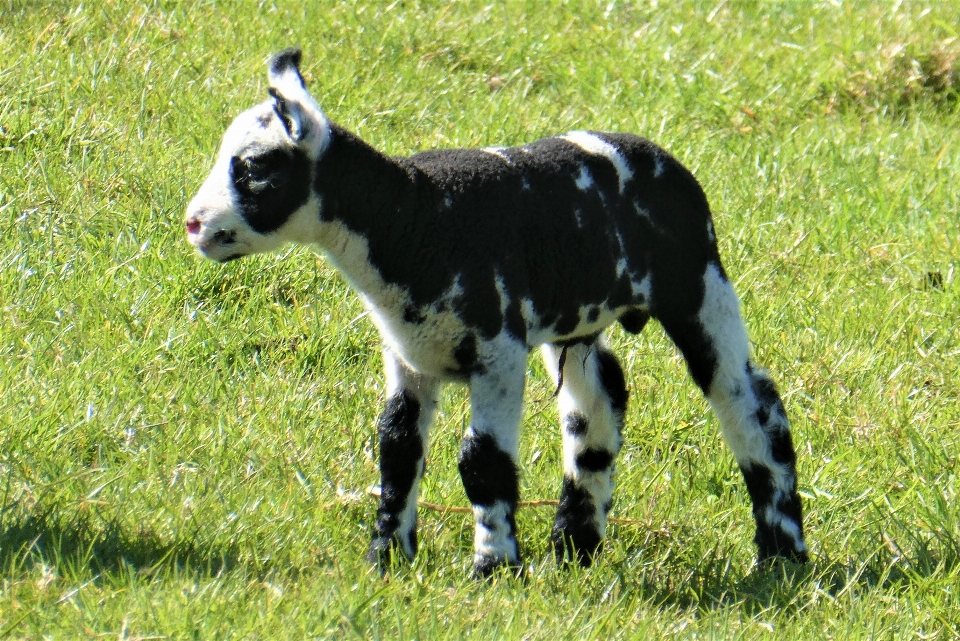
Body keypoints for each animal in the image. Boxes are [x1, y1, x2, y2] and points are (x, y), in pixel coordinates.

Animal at [184, 50, 808, 576]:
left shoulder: (497, 350)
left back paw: (781, 551)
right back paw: (573, 547)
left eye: (254, 167)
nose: (193, 223)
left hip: (699, 284)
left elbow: (481, 461)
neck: (412, 216)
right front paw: (386, 559)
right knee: (598, 408)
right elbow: (395, 450)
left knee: (751, 404)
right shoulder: (407, 354)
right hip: (575, 318)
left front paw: (493, 567)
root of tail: (668, 161)